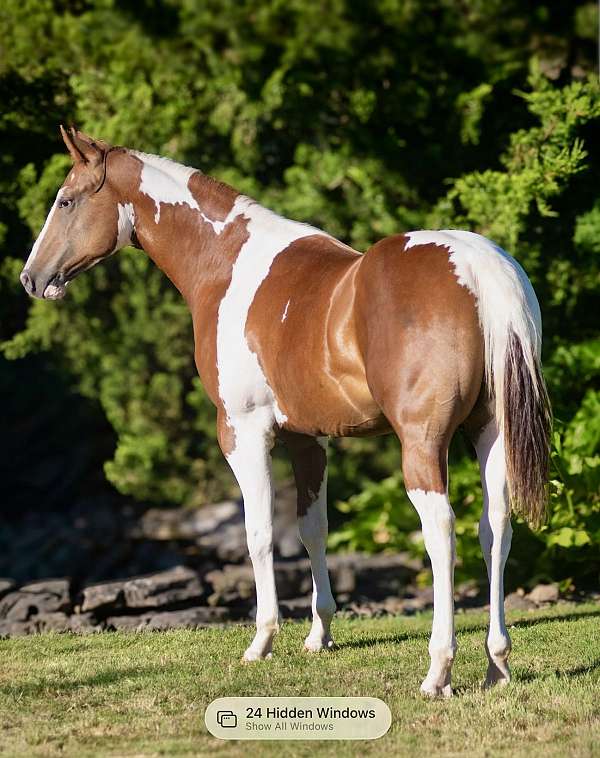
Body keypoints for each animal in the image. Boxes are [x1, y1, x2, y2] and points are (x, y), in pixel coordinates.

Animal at [20, 127, 551, 697]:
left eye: (66, 200)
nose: (31, 278)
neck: (227, 266)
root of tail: (476, 265)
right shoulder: (307, 437)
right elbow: (311, 528)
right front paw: (320, 635)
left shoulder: (243, 431)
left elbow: (258, 535)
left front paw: (262, 641)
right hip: (489, 433)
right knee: (495, 528)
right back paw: (497, 664)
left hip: (423, 444)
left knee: (441, 532)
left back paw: (438, 670)